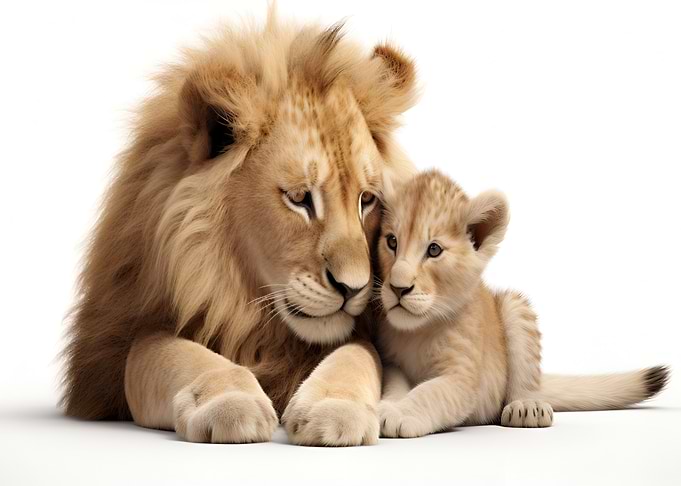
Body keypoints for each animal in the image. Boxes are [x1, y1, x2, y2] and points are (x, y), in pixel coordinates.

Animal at [61, 10, 417, 446]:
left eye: (367, 200)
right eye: (299, 198)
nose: (352, 288)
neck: (247, 310)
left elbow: (356, 356)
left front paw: (335, 408)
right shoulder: (122, 345)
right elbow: (165, 353)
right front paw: (232, 402)